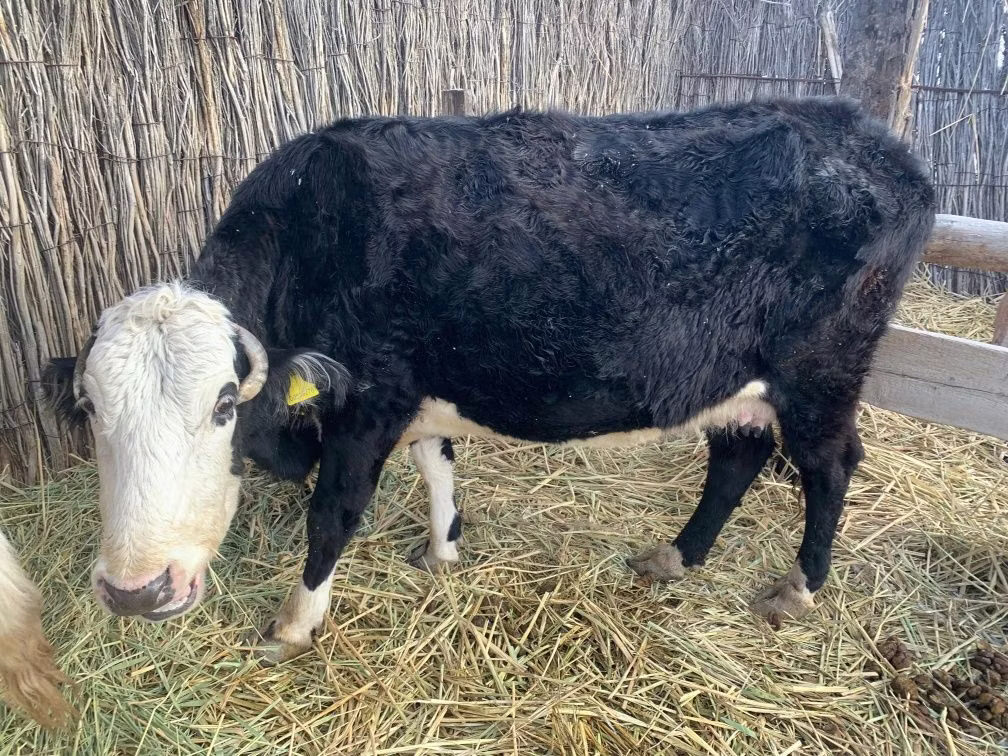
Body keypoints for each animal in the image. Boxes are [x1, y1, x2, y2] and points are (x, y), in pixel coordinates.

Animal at [42, 96, 935, 663]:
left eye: (225, 403)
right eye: (92, 410)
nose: (134, 592)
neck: (316, 229)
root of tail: (880, 144)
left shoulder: (368, 400)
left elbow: (333, 514)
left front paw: (295, 624)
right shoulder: (415, 391)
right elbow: (437, 464)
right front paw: (444, 550)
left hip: (820, 377)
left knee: (830, 468)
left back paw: (799, 588)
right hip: (728, 379)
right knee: (737, 458)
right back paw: (676, 557)